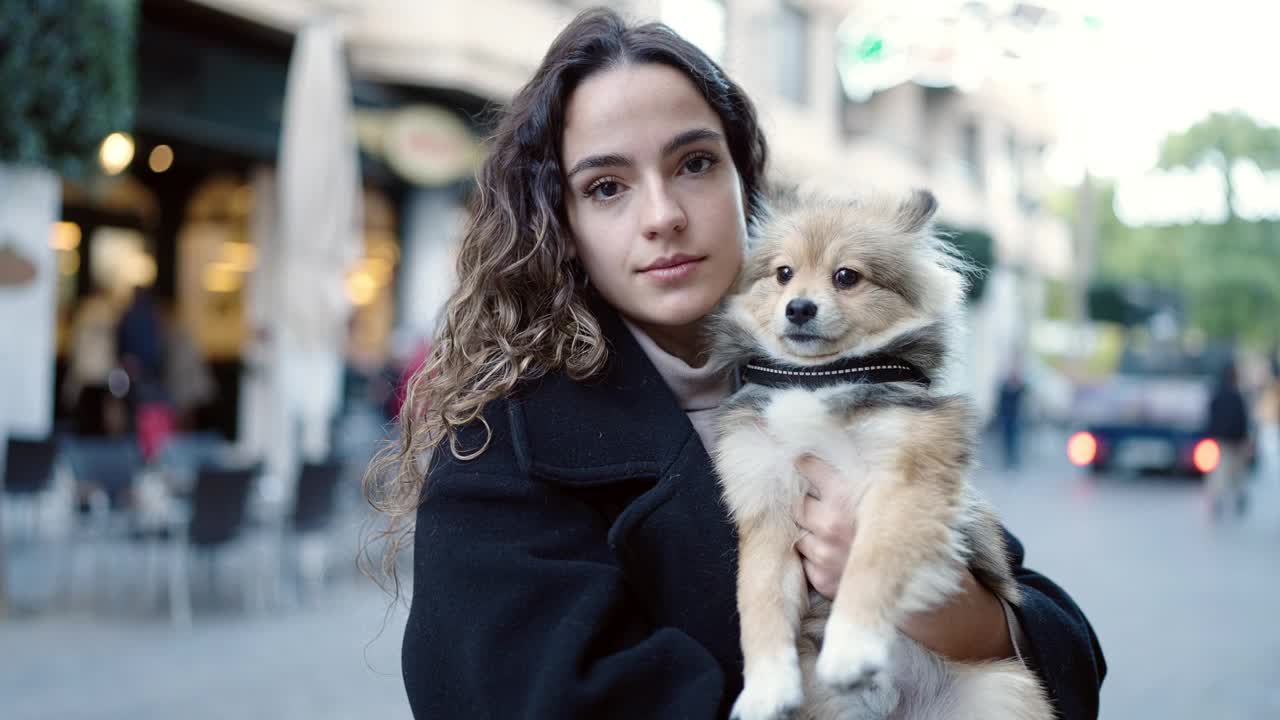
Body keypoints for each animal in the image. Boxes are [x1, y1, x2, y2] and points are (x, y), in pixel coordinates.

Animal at [711, 190, 1049, 717]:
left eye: (846, 276)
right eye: (784, 273)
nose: (799, 308)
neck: (819, 379)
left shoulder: (906, 485)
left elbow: (869, 566)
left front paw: (851, 647)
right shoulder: (766, 505)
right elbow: (760, 603)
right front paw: (766, 689)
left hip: (1005, 691)